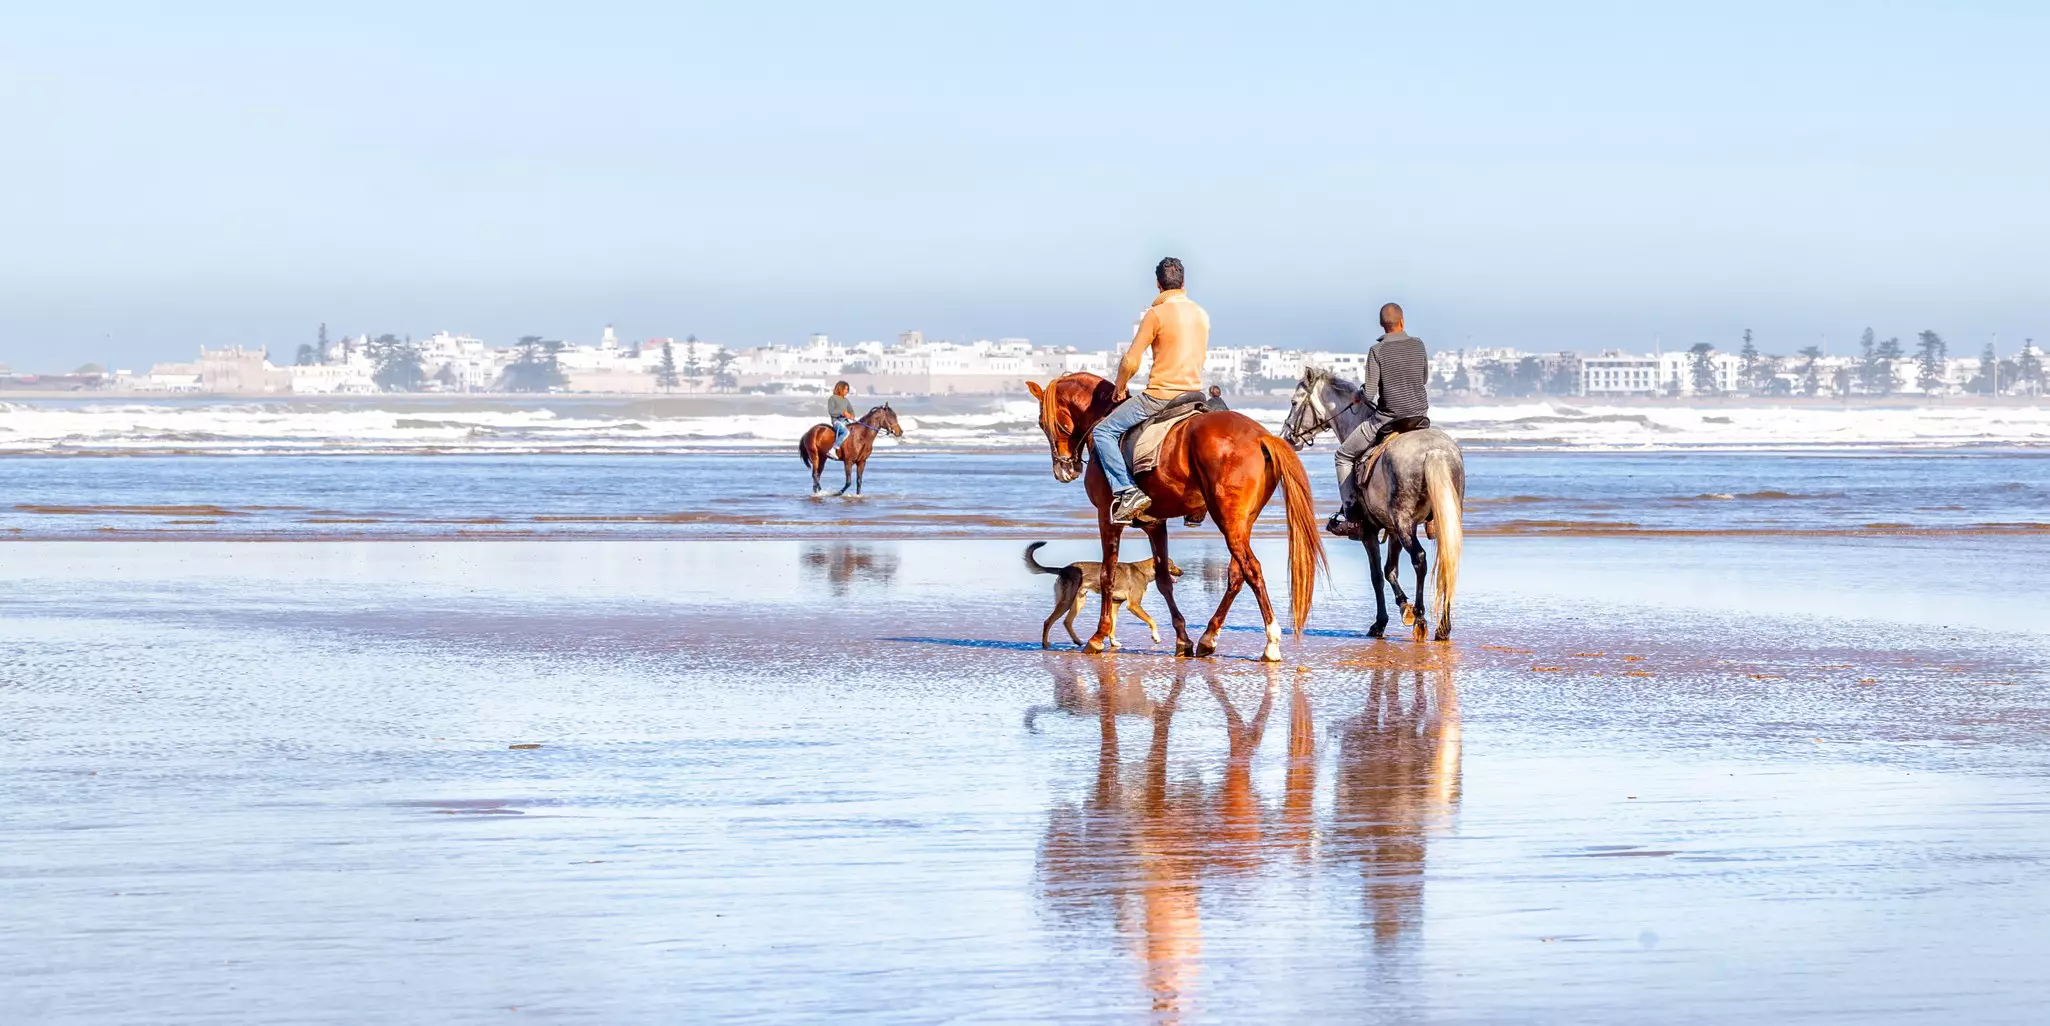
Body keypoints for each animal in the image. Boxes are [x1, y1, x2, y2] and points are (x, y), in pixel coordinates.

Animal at [1026, 374, 1324, 662]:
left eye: (1043, 422)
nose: (1064, 469)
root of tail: (1261, 436)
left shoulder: (1107, 518)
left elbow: (1107, 575)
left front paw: (1099, 637)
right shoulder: (1155, 524)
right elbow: (1163, 580)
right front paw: (1183, 639)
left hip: (1227, 518)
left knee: (1252, 569)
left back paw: (1271, 642)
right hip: (1242, 521)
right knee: (1236, 574)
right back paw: (1208, 637)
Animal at [1279, 367, 1464, 641]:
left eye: (1293, 402)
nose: (1287, 436)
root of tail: (1434, 452)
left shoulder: (1369, 530)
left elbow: (1377, 575)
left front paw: (1381, 623)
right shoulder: (1393, 529)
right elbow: (1390, 570)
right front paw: (1404, 607)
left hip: (1405, 522)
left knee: (1419, 559)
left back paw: (1421, 618)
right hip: (1439, 519)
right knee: (1447, 561)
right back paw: (1443, 626)